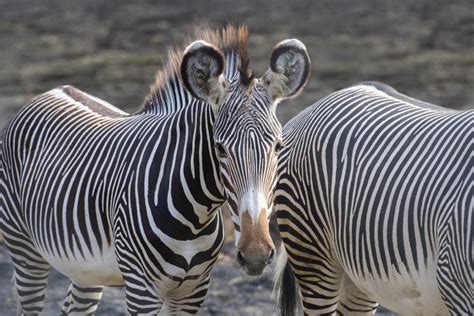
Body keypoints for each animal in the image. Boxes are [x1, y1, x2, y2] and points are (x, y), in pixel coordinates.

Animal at [0, 25, 312, 314]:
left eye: (278, 146)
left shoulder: (194, 289)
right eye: (220, 149)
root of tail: (50, 91)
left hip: (85, 268)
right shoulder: (141, 289)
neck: (195, 217)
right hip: (24, 250)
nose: (256, 254)